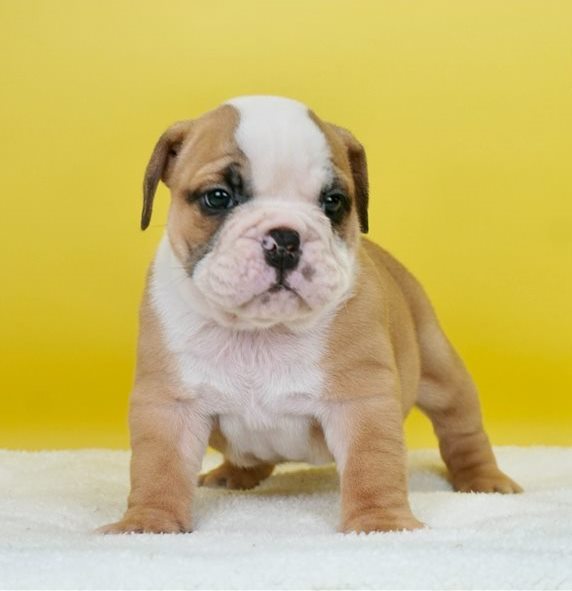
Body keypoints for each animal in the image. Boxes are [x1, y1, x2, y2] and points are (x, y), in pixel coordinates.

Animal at [99, 96, 524, 536]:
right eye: (217, 197)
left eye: (333, 201)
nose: (285, 239)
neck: (260, 331)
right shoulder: (170, 407)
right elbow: (158, 469)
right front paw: (148, 523)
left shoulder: (362, 403)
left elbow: (373, 466)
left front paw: (381, 524)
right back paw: (235, 474)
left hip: (442, 370)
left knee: (461, 429)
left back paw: (483, 480)